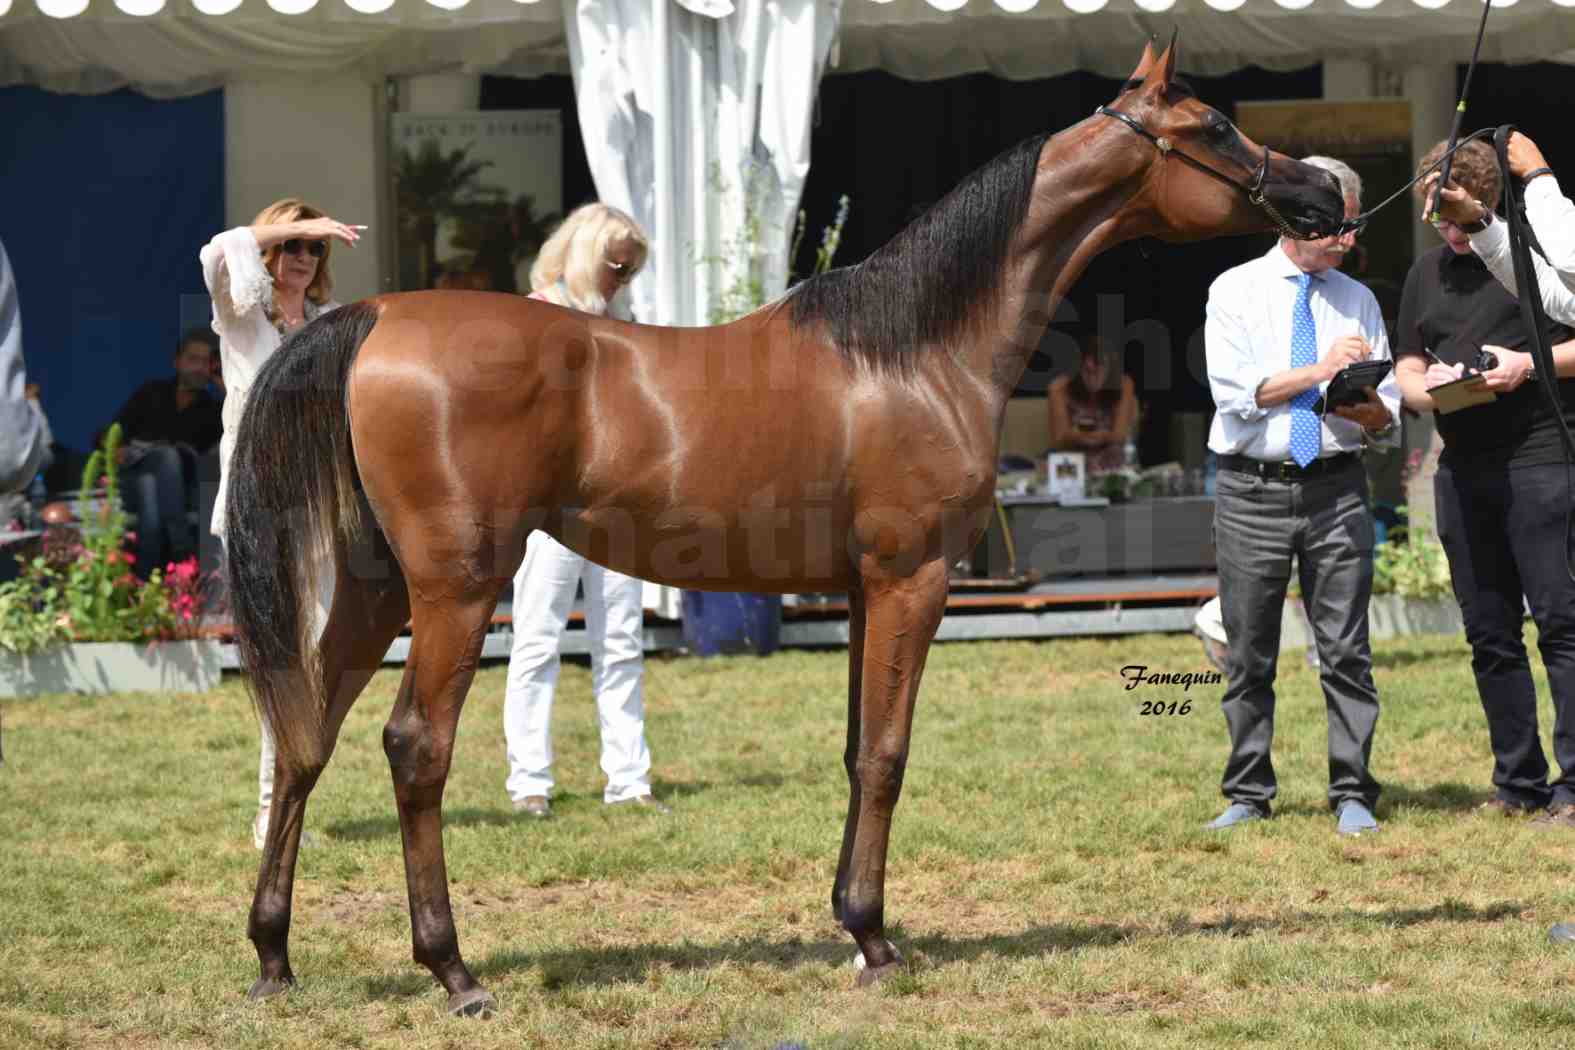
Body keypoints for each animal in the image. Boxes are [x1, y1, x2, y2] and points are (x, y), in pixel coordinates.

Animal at [229, 41, 1341, 1020]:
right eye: (1213, 126)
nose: (1325, 196)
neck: (915, 349)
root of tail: (374, 319)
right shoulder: (911, 580)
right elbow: (887, 754)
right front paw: (878, 942)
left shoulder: (856, 592)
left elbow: (855, 751)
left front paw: (853, 925)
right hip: (456, 591)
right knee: (414, 748)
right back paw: (453, 970)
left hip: (372, 591)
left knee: (303, 736)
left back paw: (274, 957)